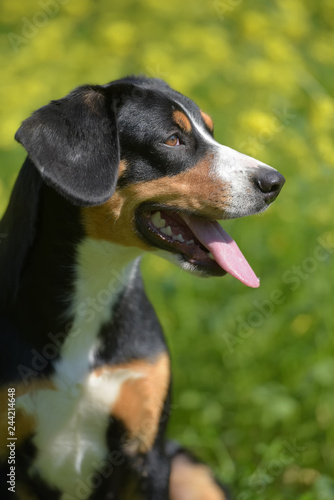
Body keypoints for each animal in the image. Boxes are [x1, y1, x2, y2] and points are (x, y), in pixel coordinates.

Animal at [0, 75, 284, 500]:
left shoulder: (147, 453)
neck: (96, 288)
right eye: (172, 139)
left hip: (190, 470)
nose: (274, 182)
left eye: (210, 132)